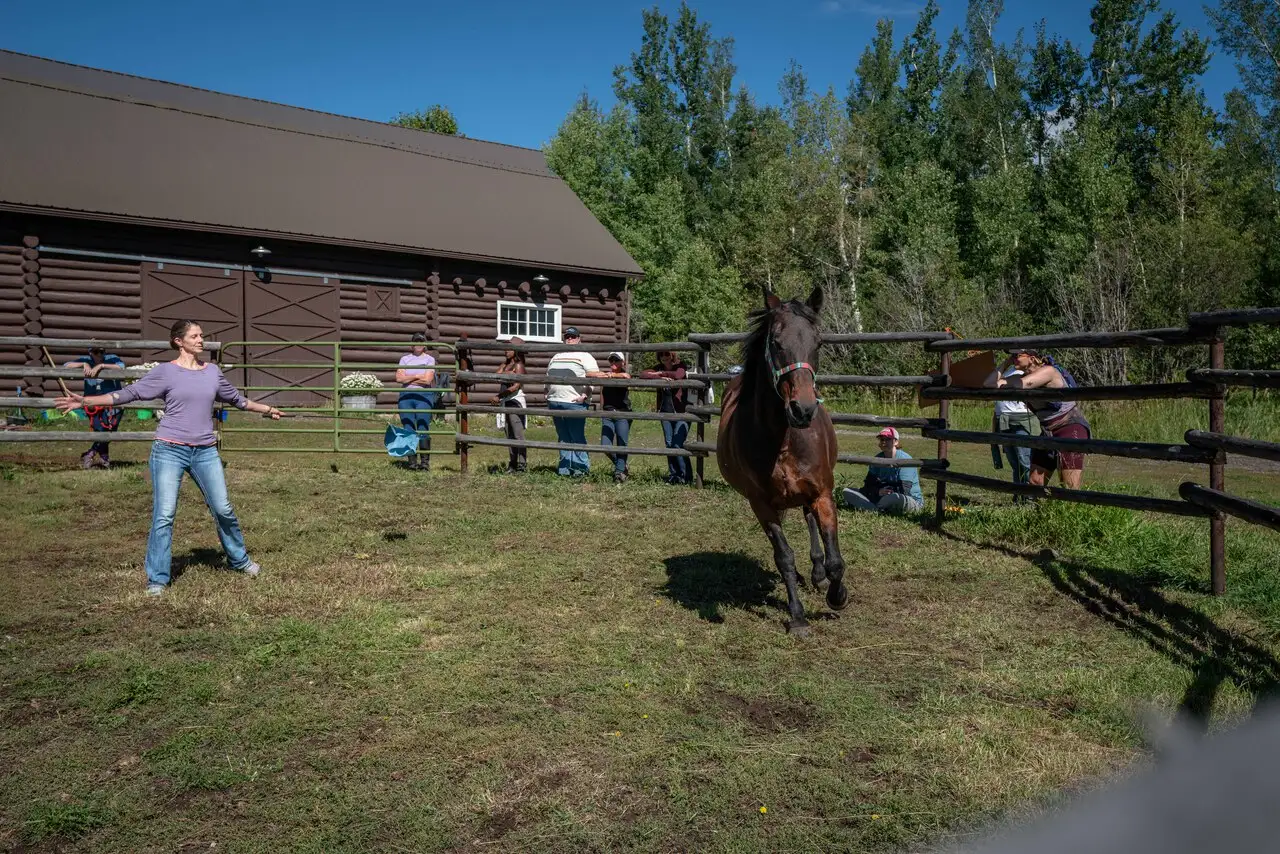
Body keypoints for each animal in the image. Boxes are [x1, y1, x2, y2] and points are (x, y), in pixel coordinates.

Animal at [716, 285, 844, 635]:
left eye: (818, 342)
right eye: (775, 342)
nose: (803, 409)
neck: (783, 439)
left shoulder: (823, 493)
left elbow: (835, 558)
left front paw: (837, 596)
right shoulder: (761, 504)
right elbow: (784, 556)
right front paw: (797, 617)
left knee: (810, 522)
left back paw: (817, 575)